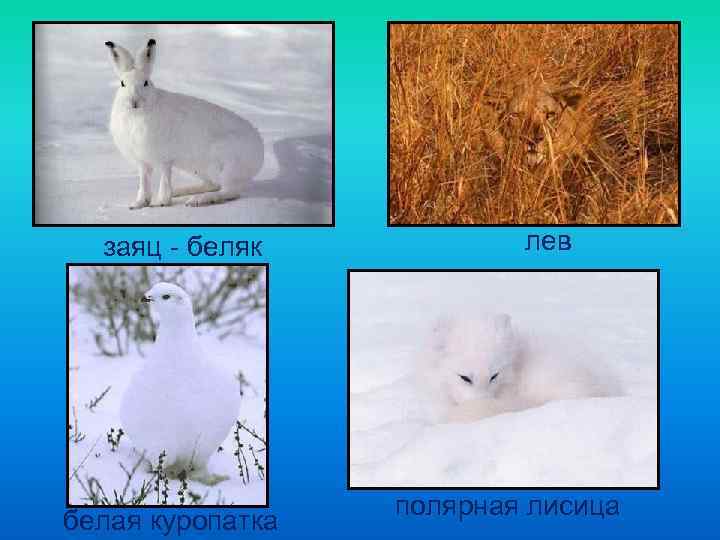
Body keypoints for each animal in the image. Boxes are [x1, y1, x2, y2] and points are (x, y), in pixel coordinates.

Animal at [105, 38, 264, 209]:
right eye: (122, 83)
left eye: (146, 83)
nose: (134, 102)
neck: (136, 114)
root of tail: (259, 155)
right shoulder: (143, 161)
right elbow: (144, 181)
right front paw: (138, 204)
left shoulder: (165, 158)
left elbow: (165, 179)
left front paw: (161, 202)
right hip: (200, 168)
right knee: (213, 184)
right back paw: (182, 192)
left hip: (226, 164)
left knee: (229, 191)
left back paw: (198, 200)